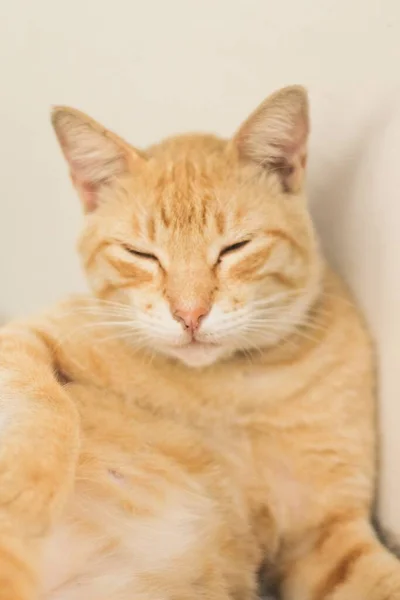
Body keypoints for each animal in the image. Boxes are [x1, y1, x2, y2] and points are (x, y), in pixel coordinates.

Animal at [0, 85, 400, 600]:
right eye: (141, 254)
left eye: (235, 248)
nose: (189, 315)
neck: (230, 388)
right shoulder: (24, 333)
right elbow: (41, 401)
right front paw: (29, 487)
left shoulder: (325, 537)